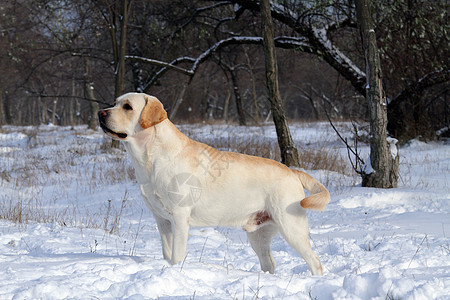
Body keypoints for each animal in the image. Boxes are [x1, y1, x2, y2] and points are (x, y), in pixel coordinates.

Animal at [98, 92, 330, 276]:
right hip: (258, 233)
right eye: (114, 102)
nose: (101, 113)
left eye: (127, 106)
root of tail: (292, 171)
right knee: (269, 263)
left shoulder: (180, 217)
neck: (150, 157)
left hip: (291, 227)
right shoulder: (161, 219)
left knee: (315, 262)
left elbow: (177, 255)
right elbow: (167, 252)